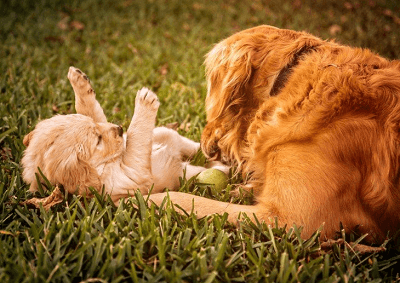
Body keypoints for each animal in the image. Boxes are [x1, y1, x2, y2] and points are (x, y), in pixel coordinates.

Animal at [21, 67, 222, 201]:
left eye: (96, 129)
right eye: (98, 141)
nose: (119, 129)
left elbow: (91, 111)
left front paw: (79, 82)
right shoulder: (132, 178)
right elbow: (135, 143)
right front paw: (144, 101)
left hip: (164, 133)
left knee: (191, 146)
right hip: (185, 170)